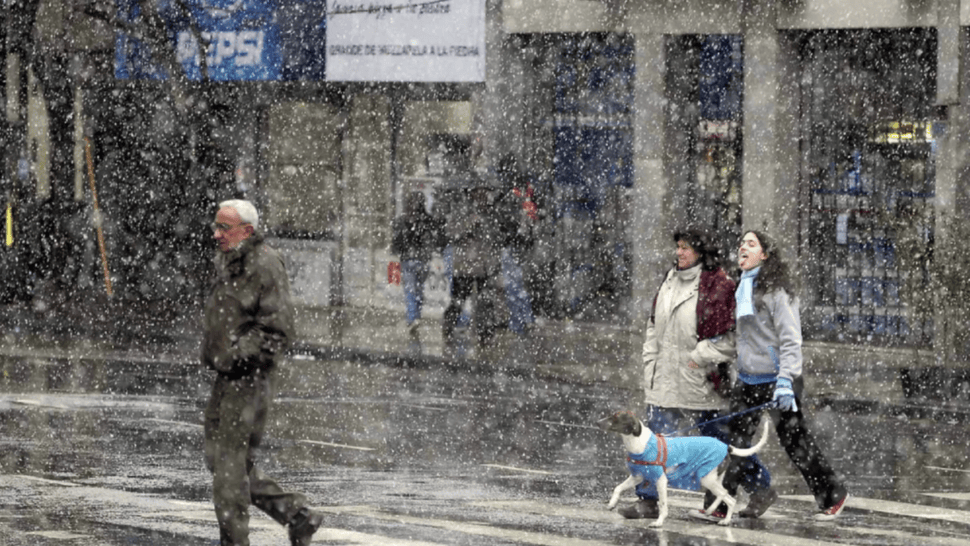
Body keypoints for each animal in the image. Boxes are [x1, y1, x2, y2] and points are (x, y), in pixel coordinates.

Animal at [592, 410, 768, 524]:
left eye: (615, 418)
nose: (597, 422)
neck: (639, 443)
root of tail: (726, 446)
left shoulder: (660, 480)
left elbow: (663, 505)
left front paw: (659, 523)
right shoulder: (638, 476)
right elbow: (618, 488)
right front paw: (612, 503)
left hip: (706, 478)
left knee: (730, 499)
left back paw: (725, 521)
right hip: (714, 478)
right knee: (723, 494)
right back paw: (710, 510)